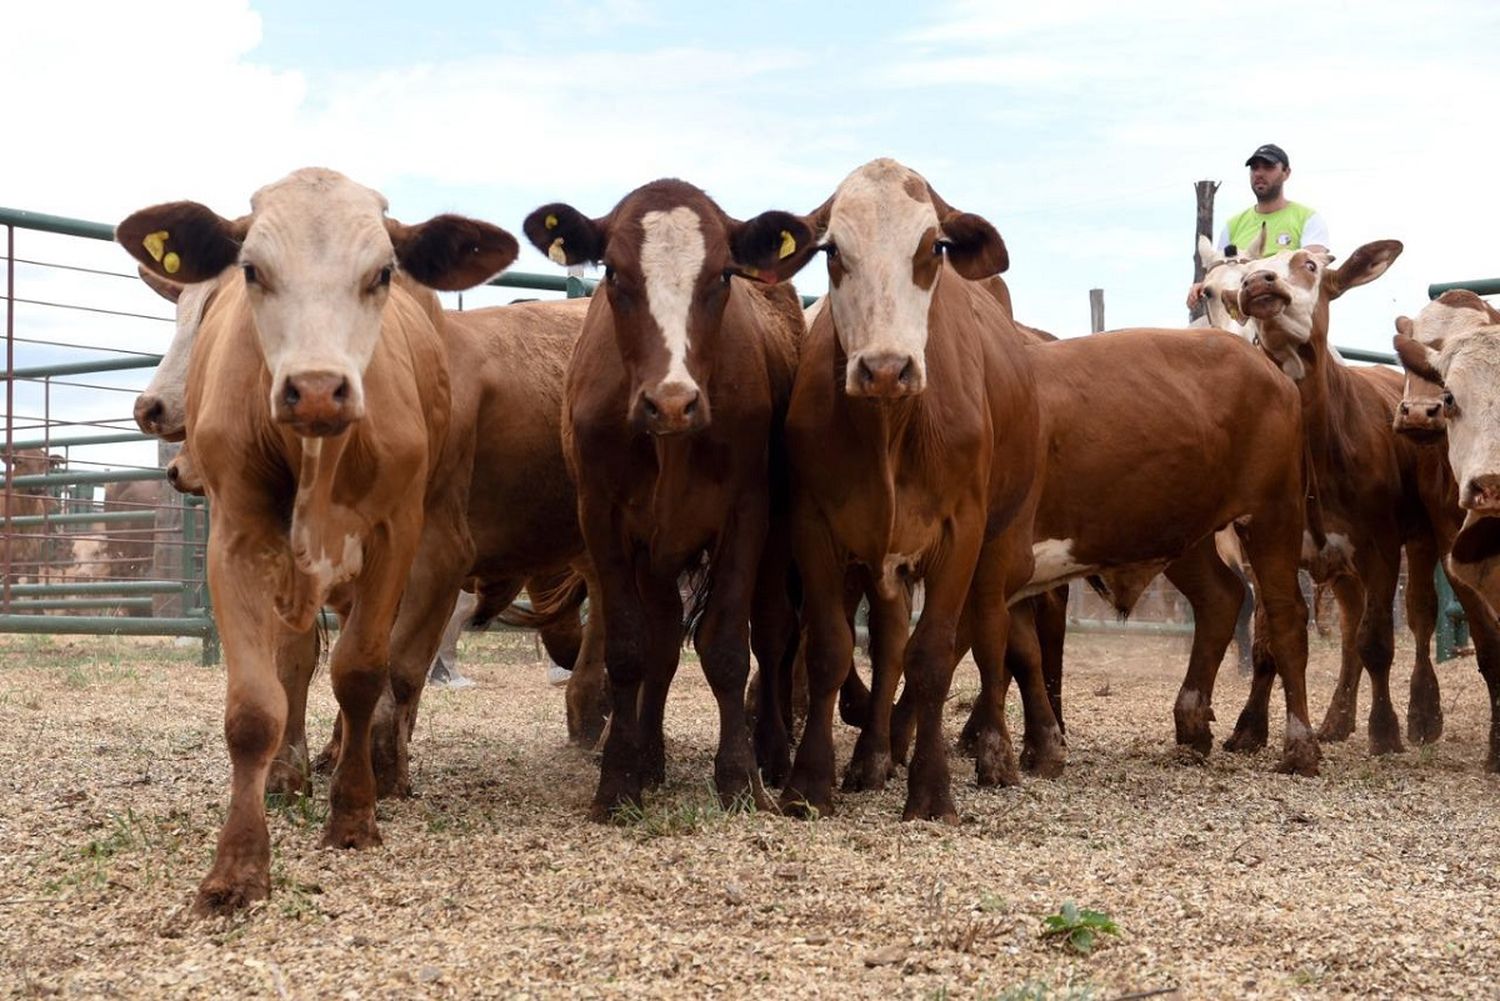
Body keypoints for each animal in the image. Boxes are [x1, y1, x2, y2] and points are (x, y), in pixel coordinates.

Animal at [115, 166, 522, 918]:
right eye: (252, 269)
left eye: (382, 272)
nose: (315, 388)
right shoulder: (236, 541)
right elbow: (259, 702)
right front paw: (238, 865)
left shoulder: (397, 539)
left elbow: (362, 673)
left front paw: (354, 814)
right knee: (298, 665)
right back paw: (293, 766)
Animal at [525, 177, 810, 822]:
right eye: (613, 273)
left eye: (724, 275)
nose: (673, 402)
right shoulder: (602, 518)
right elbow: (632, 649)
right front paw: (619, 779)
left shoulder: (747, 514)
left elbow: (727, 647)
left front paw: (739, 779)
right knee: (660, 641)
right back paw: (649, 757)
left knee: (773, 633)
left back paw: (773, 753)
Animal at [774, 160, 1314, 828]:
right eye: (831, 251)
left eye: (932, 249)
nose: (884, 366)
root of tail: (1259, 362)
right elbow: (984, 648)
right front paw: (1007, 747)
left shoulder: (985, 556)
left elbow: (970, 646)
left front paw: (962, 751)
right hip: (1184, 533)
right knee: (1221, 599)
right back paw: (1191, 721)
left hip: (1274, 514)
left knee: (1285, 616)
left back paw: (1299, 746)